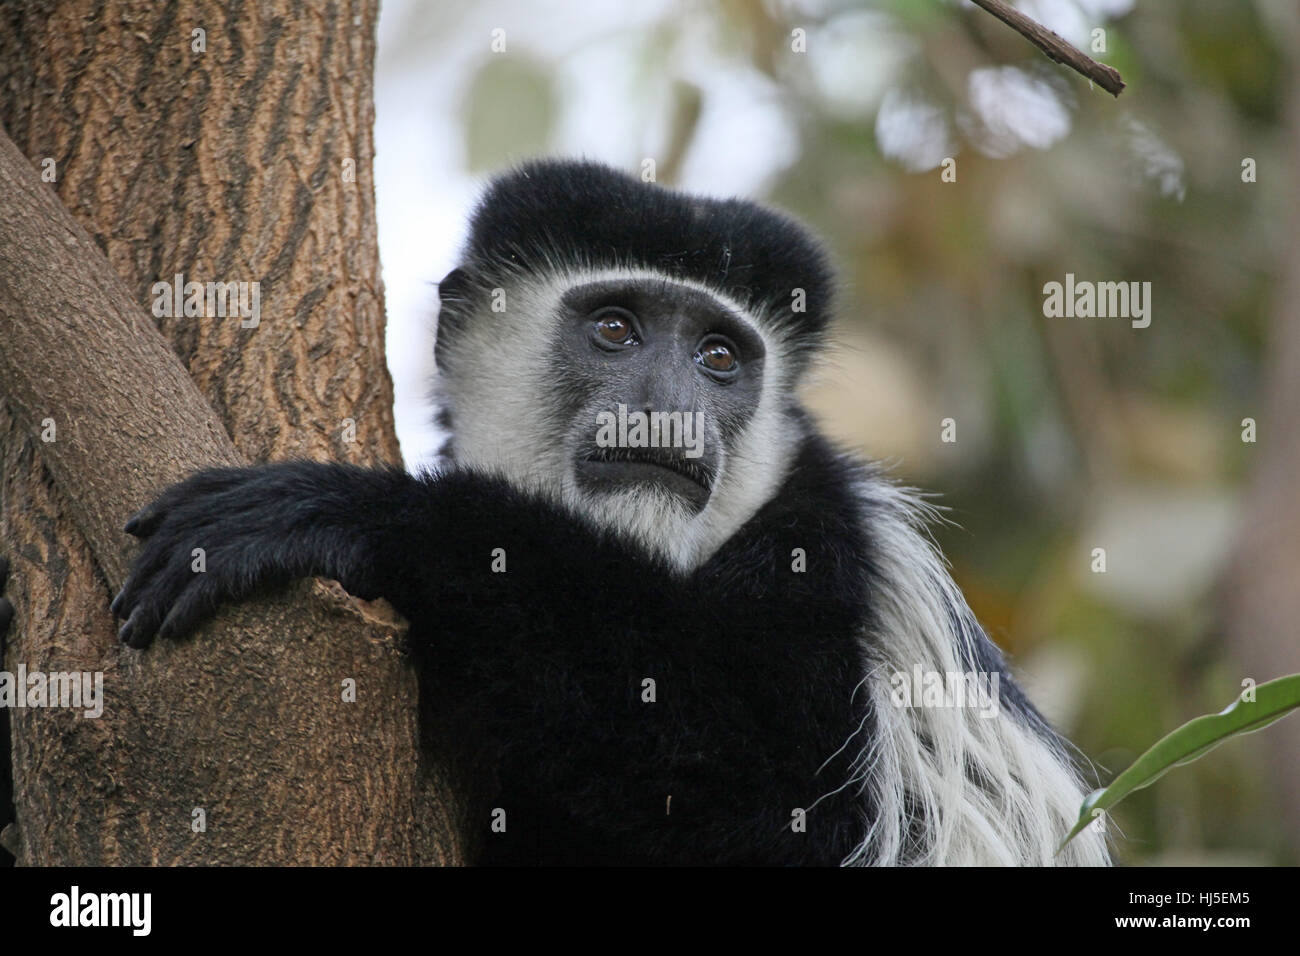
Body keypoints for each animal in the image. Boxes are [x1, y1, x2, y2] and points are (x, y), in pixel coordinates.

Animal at [106, 162, 1112, 868]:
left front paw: (352, 512)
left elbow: (781, 795)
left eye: (718, 356)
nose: (668, 409)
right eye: (617, 329)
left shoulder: (822, 553)